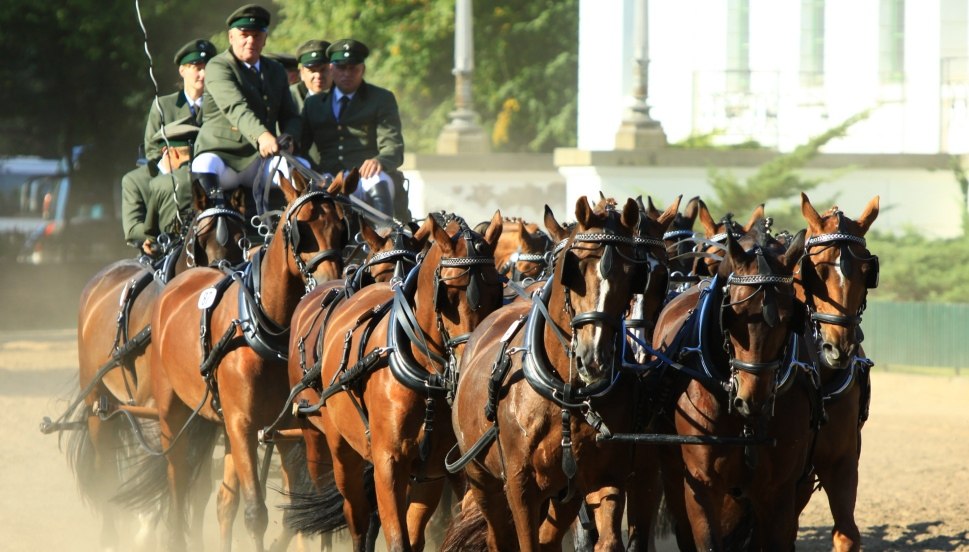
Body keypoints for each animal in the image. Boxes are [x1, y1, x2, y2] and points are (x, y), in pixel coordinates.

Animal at [45, 180, 248, 548]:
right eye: (200, 237)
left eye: (241, 238)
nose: (218, 282)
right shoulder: (160, 410)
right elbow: (168, 477)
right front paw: (161, 534)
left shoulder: (205, 417)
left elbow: (196, 485)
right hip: (99, 398)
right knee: (105, 465)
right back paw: (111, 535)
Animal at [144, 170, 356, 548]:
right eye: (300, 228)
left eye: (342, 227)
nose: (329, 283)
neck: (266, 327)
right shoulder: (243, 424)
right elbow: (256, 513)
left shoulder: (285, 429)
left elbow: (296, 510)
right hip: (173, 413)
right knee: (178, 482)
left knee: (223, 501)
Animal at [444, 198, 652, 552]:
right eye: (575, 269)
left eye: (631, 275)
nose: (593, 358)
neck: (567, 393)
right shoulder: (520, 486)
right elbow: (526, 541)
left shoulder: (602, 477)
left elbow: (608, 540)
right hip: (482, 478)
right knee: (499, 535)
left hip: (562, 495)